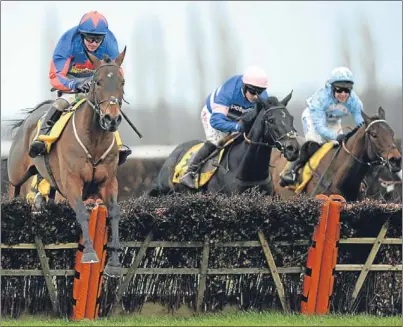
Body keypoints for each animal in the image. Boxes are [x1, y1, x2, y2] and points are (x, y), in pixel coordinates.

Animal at [8, 48, 128, 278]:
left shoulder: (109, 182)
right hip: (17, 172)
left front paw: (115, 264)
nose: (111, 119)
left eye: (122, 82)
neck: (94, 142)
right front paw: (89, 254)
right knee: (13, 189)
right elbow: (81, 212)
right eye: (98, 82)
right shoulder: (72, 181)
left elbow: (115, 212)